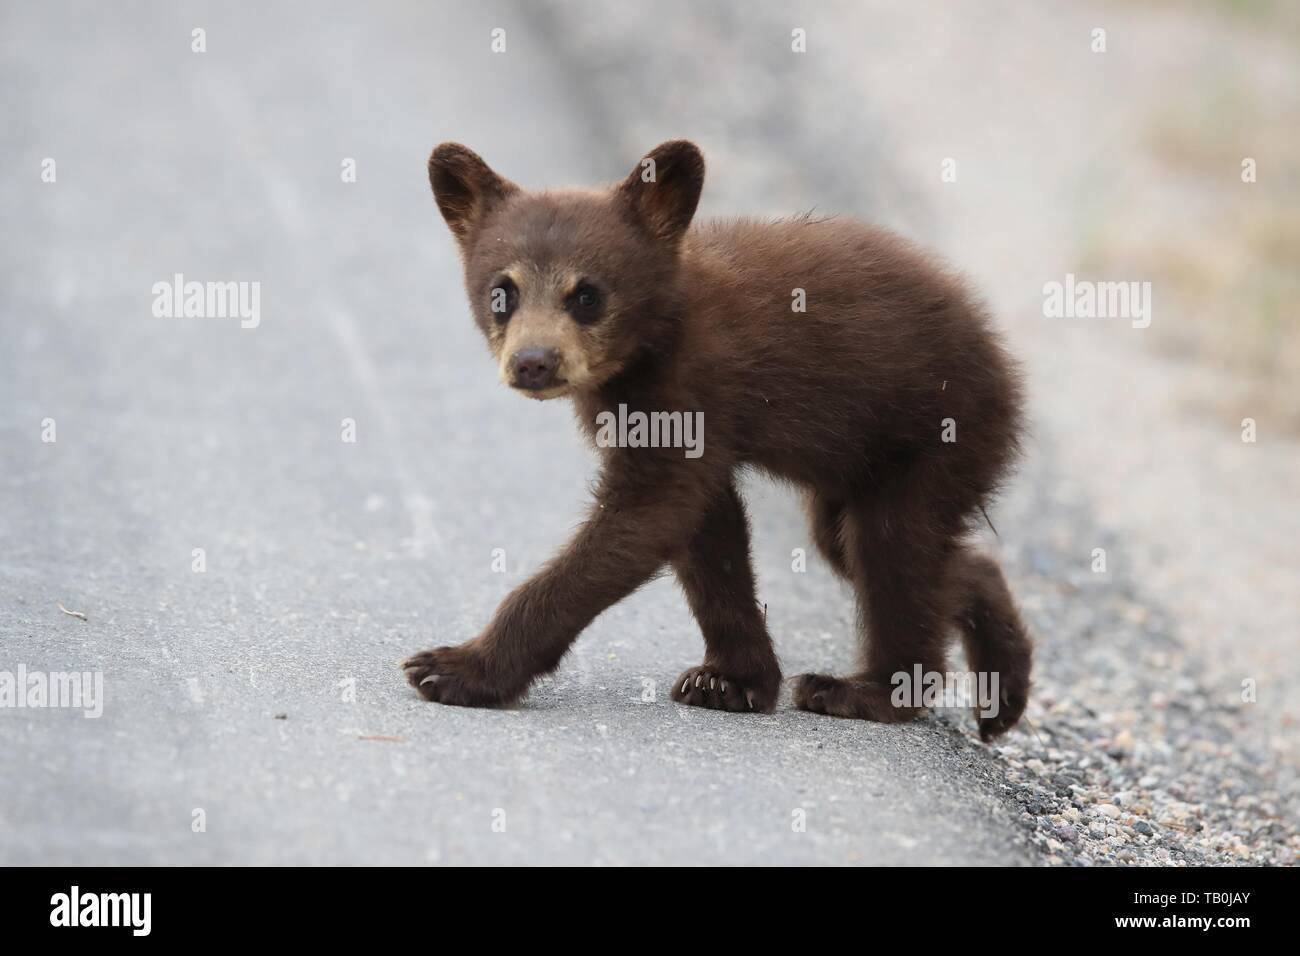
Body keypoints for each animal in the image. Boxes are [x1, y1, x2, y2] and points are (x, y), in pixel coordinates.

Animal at [404, 139, 1032, 740]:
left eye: (586, 294)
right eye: (501, 292)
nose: (534, 362)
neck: (653, 341)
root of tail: (1003, 362)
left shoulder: (689, 389)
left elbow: (650, 513)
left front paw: (456, 667)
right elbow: (709, 530)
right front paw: (732, 679)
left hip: (941, 434)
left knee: (893, 546)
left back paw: (867, 691)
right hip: (865, 464)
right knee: (901, 553)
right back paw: (1003, 686)